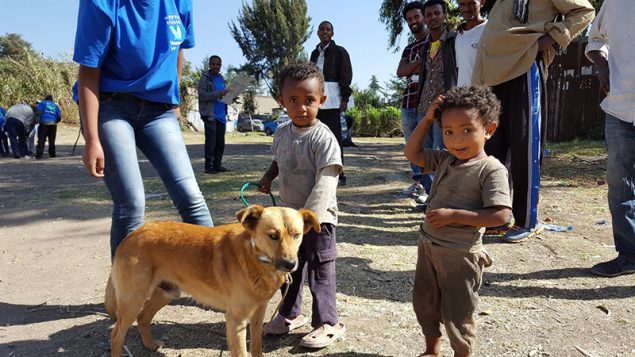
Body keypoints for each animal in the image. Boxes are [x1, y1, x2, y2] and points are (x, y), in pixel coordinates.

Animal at [107, 204, 322, 354]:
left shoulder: (258, 312)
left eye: (296, 235)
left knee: (143, 318)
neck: (253, 256)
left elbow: (256, 346)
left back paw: (150, 345)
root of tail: (130, 236)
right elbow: (242, 352)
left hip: (167, 293)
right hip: (133, 300)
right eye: (273, 236)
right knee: (116, 335)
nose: (290, 265)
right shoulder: (236, 320)